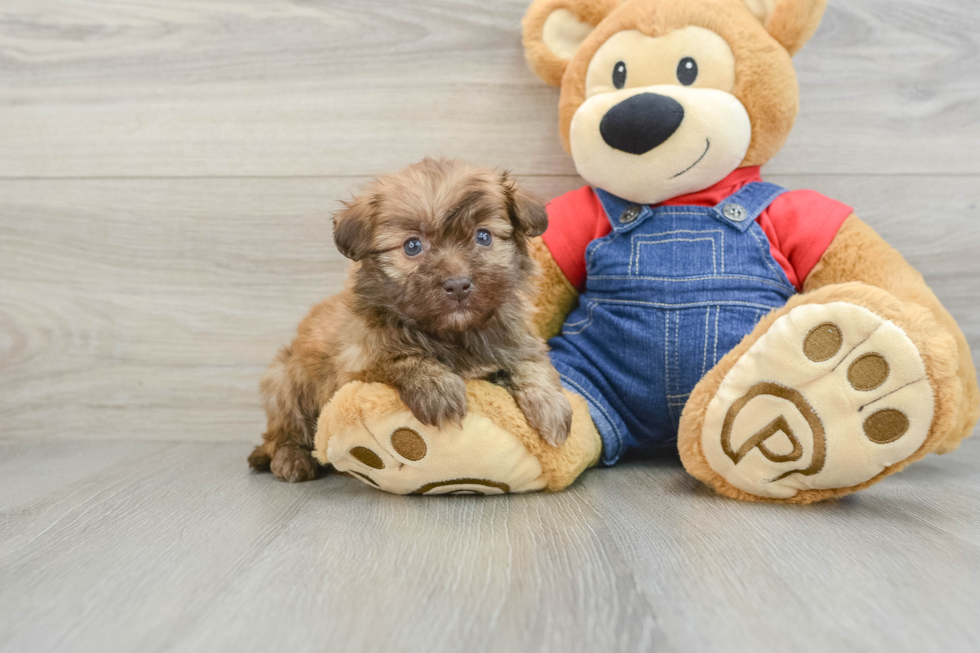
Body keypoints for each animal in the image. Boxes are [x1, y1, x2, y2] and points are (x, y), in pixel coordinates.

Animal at [245, 159, 580, 482]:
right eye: (412, 246)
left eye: (483, 236)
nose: (458, 285)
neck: (452, 332)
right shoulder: (356, 365)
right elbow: (399, 357)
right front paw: (437, 388)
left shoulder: (516, 339)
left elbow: (532, 365)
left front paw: (551, 407)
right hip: (284, 381)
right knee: (284, 432)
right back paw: (291, 459)